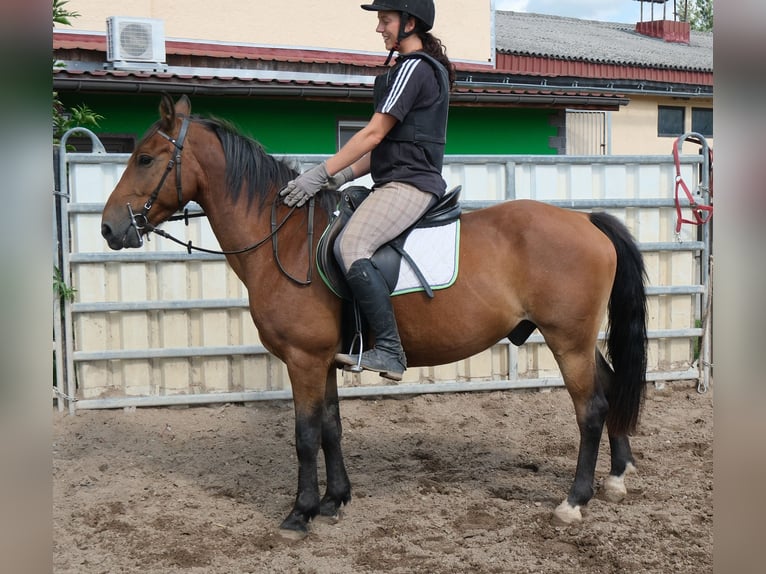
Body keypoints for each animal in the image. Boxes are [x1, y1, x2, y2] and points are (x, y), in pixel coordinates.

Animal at [101, 94, 648, 538]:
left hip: (567, 340)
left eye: (145, 158)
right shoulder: (323, 360)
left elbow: (305, 436)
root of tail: (586, 220)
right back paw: (617, 477)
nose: (108, 229)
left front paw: (300, 512)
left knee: (591, 408)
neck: (287, 239)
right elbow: (331, 428)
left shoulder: (302, 359)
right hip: (576, 341)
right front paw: (334, 500)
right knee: (609, 386)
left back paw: (574, 501)